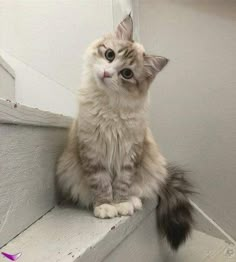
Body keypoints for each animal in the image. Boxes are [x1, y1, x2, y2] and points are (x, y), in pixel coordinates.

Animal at [56, 14, 194, 250]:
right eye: (109, 55)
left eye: (127, 74)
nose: (106, 73)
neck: (110, 106)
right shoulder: (92, 150)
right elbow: (101, 183)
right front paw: (105, 206)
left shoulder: (130, 153)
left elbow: (122, 183)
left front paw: (120, 203)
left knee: (139, 189)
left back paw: (133, 201)